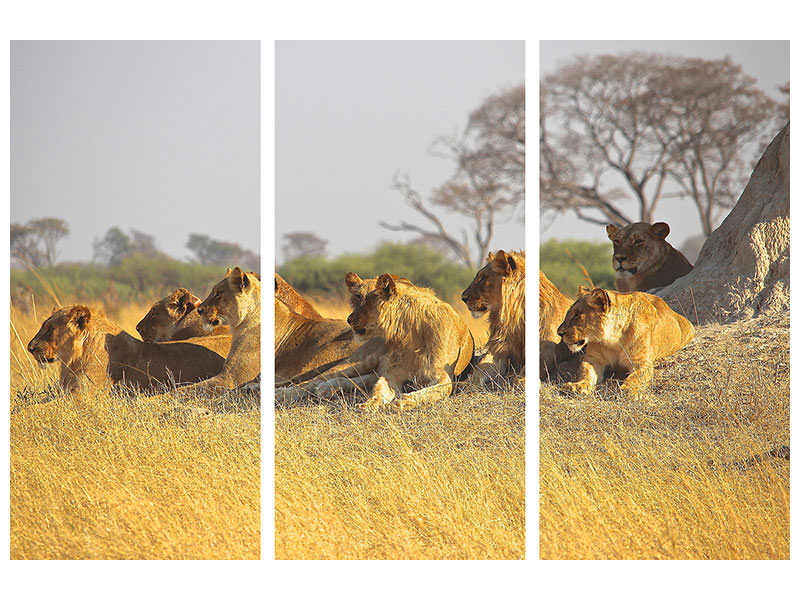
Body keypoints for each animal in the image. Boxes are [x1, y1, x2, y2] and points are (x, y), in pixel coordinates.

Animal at [347, 272, 474, 410]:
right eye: (358, 297)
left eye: (366, 302)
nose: (349, 319)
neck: (410, 333)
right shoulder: (393, 372)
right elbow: (379, 389)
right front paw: (368, 404)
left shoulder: (443, 377)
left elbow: (423, 393)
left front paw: (399, 403)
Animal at [557, 287, 695, 395]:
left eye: (577, 315)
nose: (559, 333)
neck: (613, 339)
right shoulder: (593, 359)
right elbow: (585, 371)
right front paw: (578, 385)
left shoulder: (642, 362)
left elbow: (636, 377)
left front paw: (628, 389)